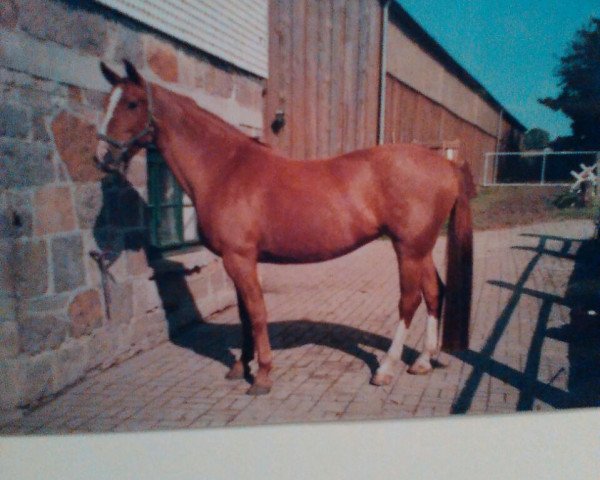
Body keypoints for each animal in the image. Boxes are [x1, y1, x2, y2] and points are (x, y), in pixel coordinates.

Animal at [95, 62, 474, 396]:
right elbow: (245, 314)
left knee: (409, 300)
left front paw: (262, 375)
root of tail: (446, 164)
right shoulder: (240, 260)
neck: (225, 169)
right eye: (106, 101)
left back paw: (386, 368)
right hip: (421, 248)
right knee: (434, 292)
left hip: (408, 248)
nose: (101, 157)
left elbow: (257, 313)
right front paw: (241, 366)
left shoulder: (239, 258)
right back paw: (423, 360)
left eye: (132, 103)